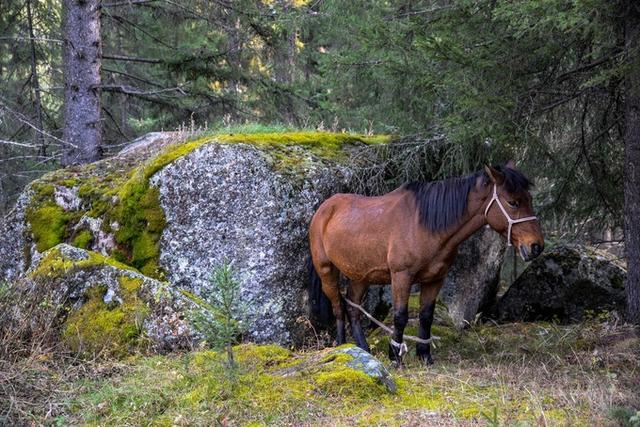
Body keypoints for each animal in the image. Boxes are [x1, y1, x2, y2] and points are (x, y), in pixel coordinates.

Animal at [308, 161, 544, 364]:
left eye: (529, 199)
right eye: (512, 202)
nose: (536, 246)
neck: (424, 225)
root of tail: (324, 208)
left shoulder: (435, 279)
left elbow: (426, 316)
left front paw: (424, 355)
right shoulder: (401, 276)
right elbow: (400, 316)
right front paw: (395, 356)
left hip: (361, 275)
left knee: (352, 307)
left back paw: (363, 349)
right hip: (327, 271)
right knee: (338, 307)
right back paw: (341, 346)